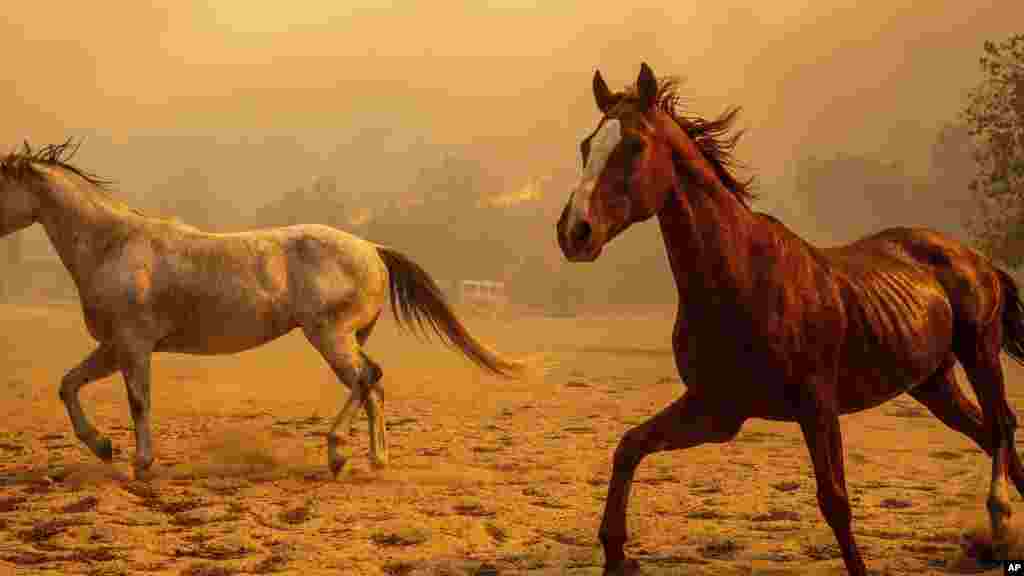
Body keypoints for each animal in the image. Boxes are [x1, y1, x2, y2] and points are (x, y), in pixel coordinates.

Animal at [0, 141, 524, 477]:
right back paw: (375, 460)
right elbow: (68, 385)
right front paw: (104, 447)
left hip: (329, 336)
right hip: (347, 338)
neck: (113, 245)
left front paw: (139, 463)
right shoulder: (113, 347)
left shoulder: (133, 346)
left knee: (365, 380)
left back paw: (337, 453)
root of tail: (372, 250)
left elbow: (138, 402)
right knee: (372, 386)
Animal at [557, 60, 1024, 569]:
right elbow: (629, 447)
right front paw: (616, 554)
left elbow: (835, 502)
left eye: (635, 145)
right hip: (933, 383)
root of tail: (974, 257)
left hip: (980, 353)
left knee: (1001, 426)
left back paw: (1000, 519)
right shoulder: (716, 410)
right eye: (585, 146)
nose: (574, 232)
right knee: (988, 433)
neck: (742, 278)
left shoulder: (816, 405)